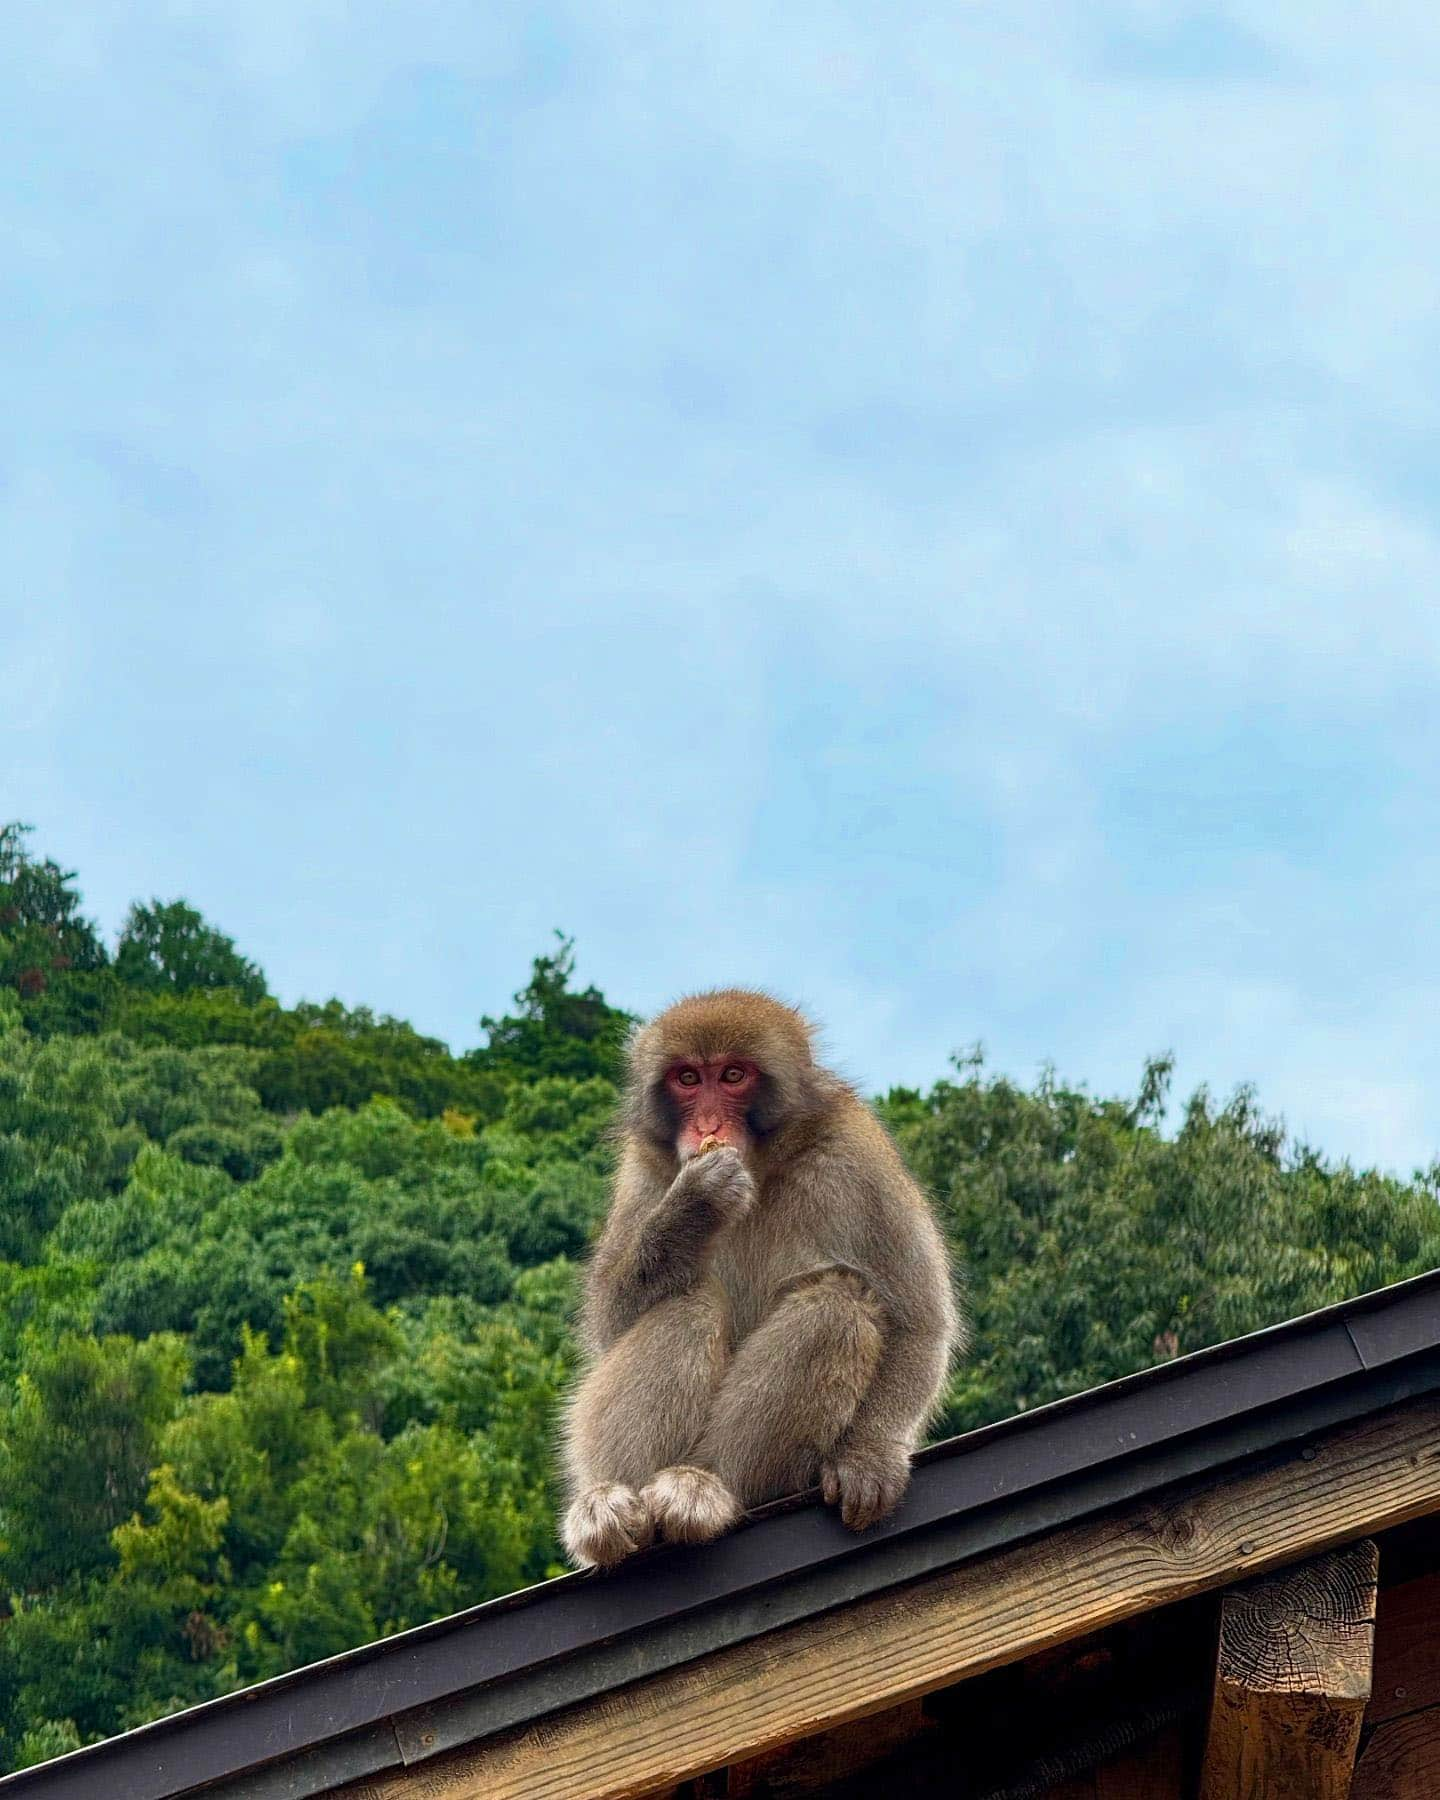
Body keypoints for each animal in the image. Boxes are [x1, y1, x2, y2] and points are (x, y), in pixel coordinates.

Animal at [558, 993, 957, 1569]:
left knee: (837, 1303)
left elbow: (919, 1320)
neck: (762, 1165)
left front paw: (869, 1456)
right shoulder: (643, 1167)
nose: (707, 1125)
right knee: (688, 1301)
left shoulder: (858, 1148)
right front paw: (693, 1206)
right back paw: (612, 1512)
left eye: (732, 1075)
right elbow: (609, 1322)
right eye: (687, 1078)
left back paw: (707, 1489)